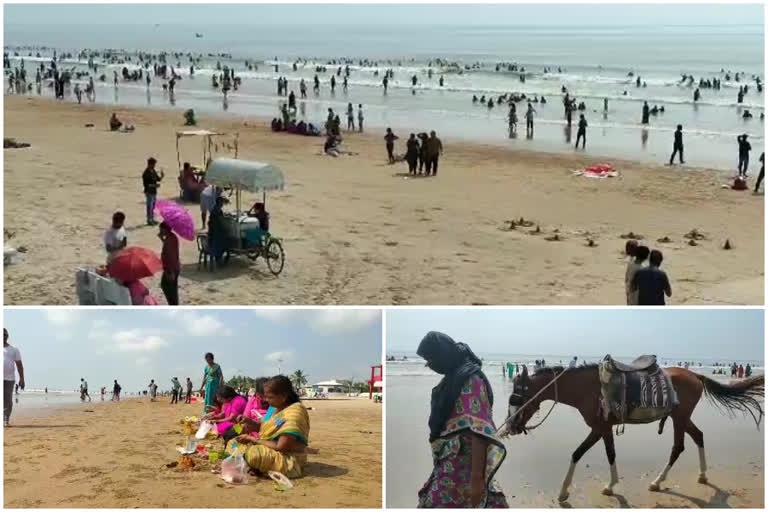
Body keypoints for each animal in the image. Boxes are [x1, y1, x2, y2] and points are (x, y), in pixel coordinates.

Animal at [498, 364, 760, 504]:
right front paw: (603, 485)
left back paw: (657, 481)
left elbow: (591, 454)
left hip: (679, 418)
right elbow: (590, 453)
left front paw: (576, 489)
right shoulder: (601, 429)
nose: (511, 427)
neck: (588, 388)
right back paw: (702, 474)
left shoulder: (600, 428)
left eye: (517, 398)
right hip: (682, 418)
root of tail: (695, 375)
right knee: (699, 436)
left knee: (679, 447)